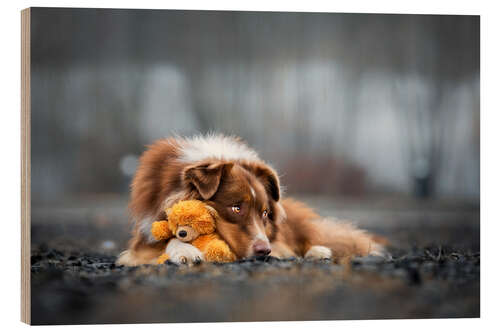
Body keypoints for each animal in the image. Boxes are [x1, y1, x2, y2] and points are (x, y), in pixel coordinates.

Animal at [117, 134, 386, 266]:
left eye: (265, 213)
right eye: (236, 208)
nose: (264, 251)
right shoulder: (144, 237)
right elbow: (165, 242)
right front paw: (185, 250)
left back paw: (318, 251)